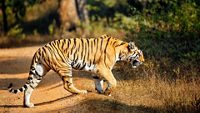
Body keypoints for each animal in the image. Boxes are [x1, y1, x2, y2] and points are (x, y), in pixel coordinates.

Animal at [8, 34, 145, 107]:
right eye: (139, 54)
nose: (143, 61)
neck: (120, 51)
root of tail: (39, 49)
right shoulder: (103, 68)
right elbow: (113, 81)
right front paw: (107, 92)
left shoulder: (96, 70)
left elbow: (98, 81)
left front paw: (101, 92)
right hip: (65, 67)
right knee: (67, 85)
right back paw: (81, 92)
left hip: (39, 71)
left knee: (29, 88)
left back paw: (28, 105)